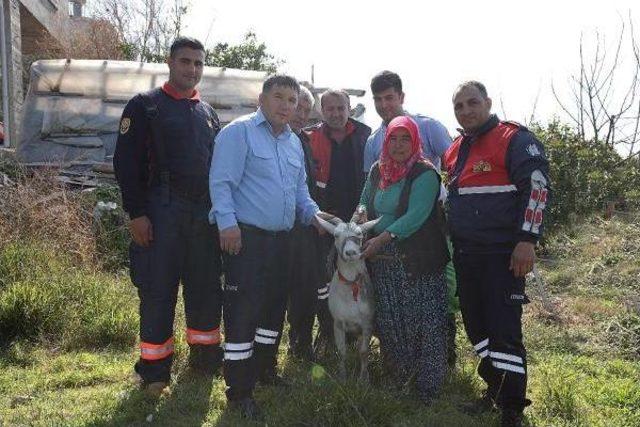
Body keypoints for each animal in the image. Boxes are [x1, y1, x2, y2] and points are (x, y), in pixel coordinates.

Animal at [316, 216, 378, 382]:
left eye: (360, 234)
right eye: (336, 235)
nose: (350, 252)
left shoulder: (367, 323)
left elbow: (363, 351)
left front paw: (363, 380)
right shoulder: (338, 323)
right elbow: (341, 351)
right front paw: (342, 378)